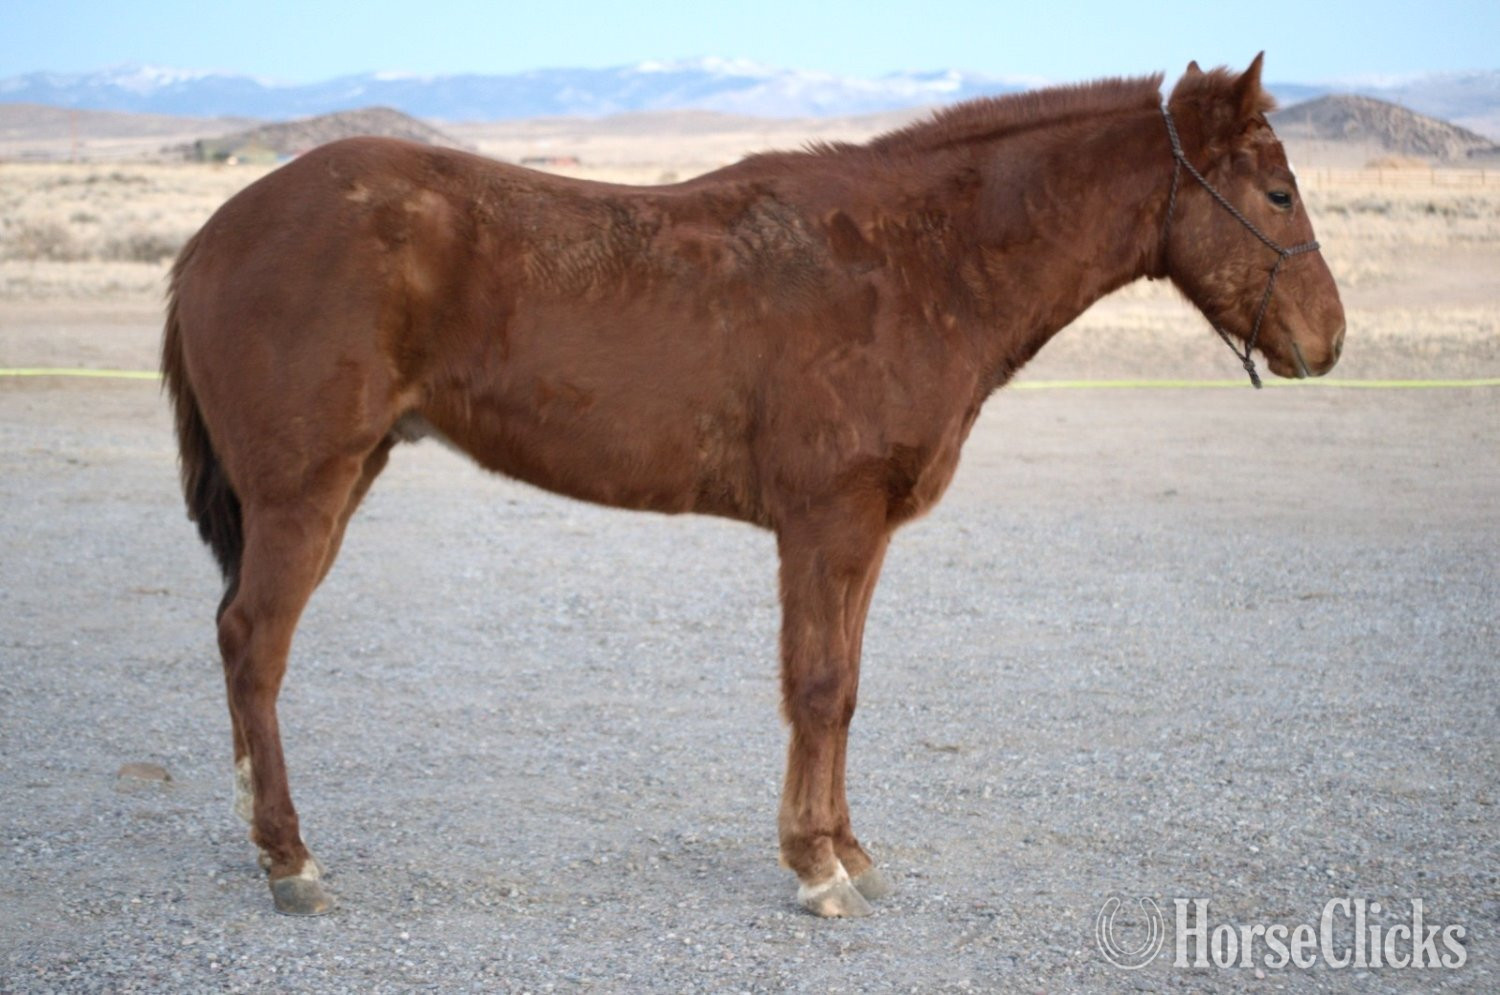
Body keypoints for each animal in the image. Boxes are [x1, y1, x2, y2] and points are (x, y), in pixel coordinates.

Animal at [162, 54, 1344, 918]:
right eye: (1277, 190)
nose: (1327, 340)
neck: (916, 262)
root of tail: (214, 234)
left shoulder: (862, 531)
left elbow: (847, 687)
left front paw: (848, 850)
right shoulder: (826, 520)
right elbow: (816, 686)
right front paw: (816, 870)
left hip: (346, 474)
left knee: (236, 636)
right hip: (305, 490)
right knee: (255, 642)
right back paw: (290, 859)